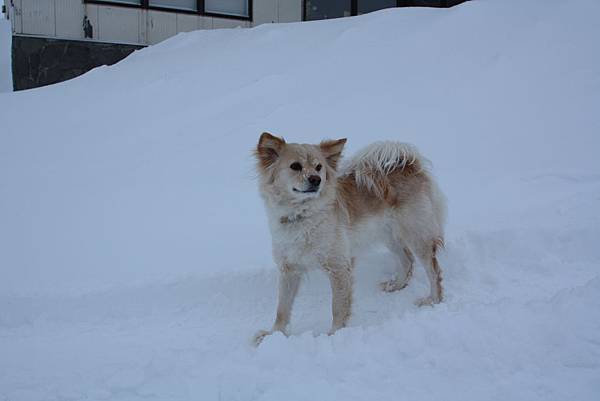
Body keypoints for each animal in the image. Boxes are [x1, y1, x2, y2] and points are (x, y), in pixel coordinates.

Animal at [253, 134, 446, 344]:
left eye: (319, 167)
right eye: (295, 166)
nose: (316, 180)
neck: (302, 214)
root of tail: (408, 164)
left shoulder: (339, 267)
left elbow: (338, 306)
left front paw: (334, 334)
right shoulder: (288, 270)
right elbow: (282, 308)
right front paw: (273, 334)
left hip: (417, 235)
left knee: (433, 270)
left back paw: (433, 300)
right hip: (389, 235)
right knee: (407, 260)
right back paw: (396, 285)